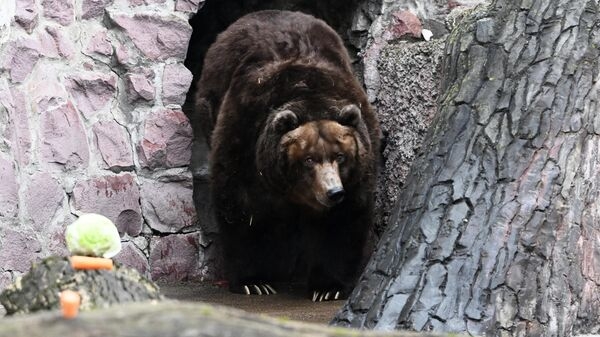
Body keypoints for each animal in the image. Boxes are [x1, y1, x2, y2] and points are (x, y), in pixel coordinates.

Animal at [193, 9, 380, 300]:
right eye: (309, 159)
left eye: (340, 156)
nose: (333, 192)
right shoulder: (246, 138)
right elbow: (242, 209)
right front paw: (254, 281)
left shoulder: (359, 163)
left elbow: (342, 220)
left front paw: (328, 288)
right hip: (210, 103)